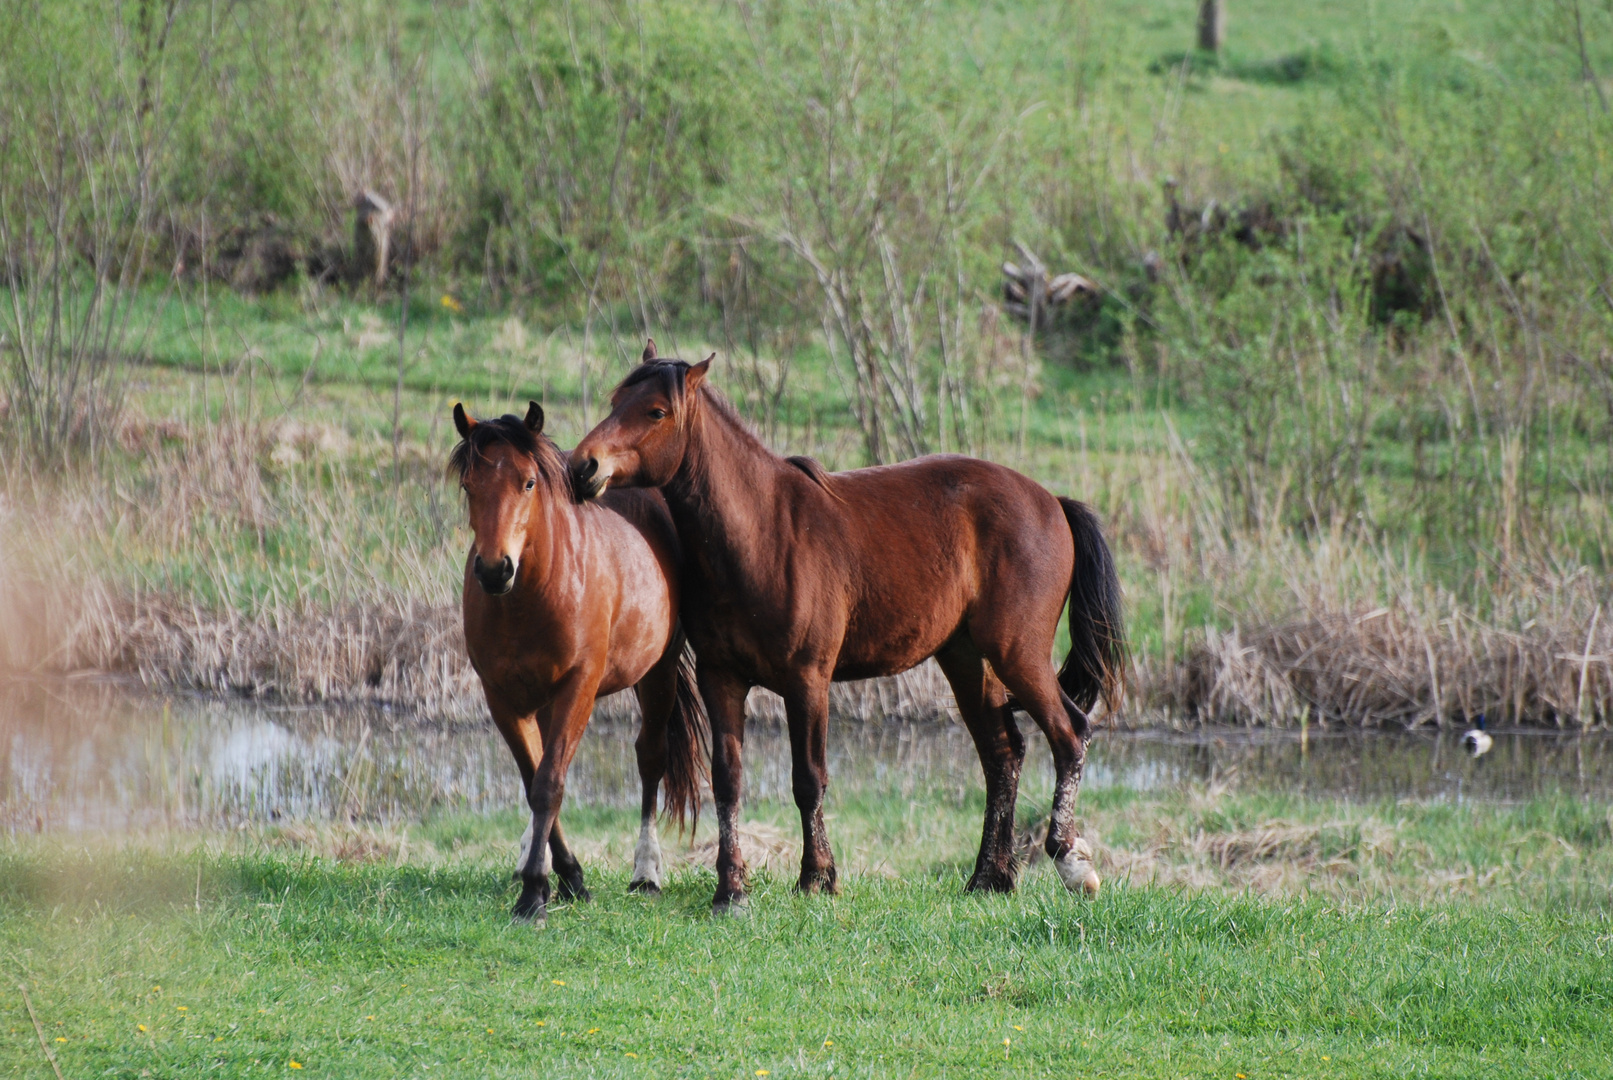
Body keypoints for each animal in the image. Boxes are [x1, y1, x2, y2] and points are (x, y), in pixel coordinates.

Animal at [454, 401, 706, 928]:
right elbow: (534, 780)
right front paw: (562, 875)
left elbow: (549, 784)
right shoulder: (503, 697)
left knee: (650, 758)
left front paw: (535, 893)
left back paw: (646, 871)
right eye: (469, 485)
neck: (535, 592)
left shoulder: (578, 687)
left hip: (659, 673)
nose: (494, 570)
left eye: (529, 482)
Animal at [574, 346, 1129, 915]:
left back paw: (1070, 861)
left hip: (1018, 653)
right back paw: (988, 878)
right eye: (617, 401)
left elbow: (808, 780)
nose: (583, 465)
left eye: (656, 411)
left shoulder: (807, 681)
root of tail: (1052, 502)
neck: (762, 532)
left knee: (1069, 734)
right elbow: (727, 781)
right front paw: (731, 889)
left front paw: (817, 877)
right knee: (1002, 754)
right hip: (966, 659)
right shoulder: (720, 678)